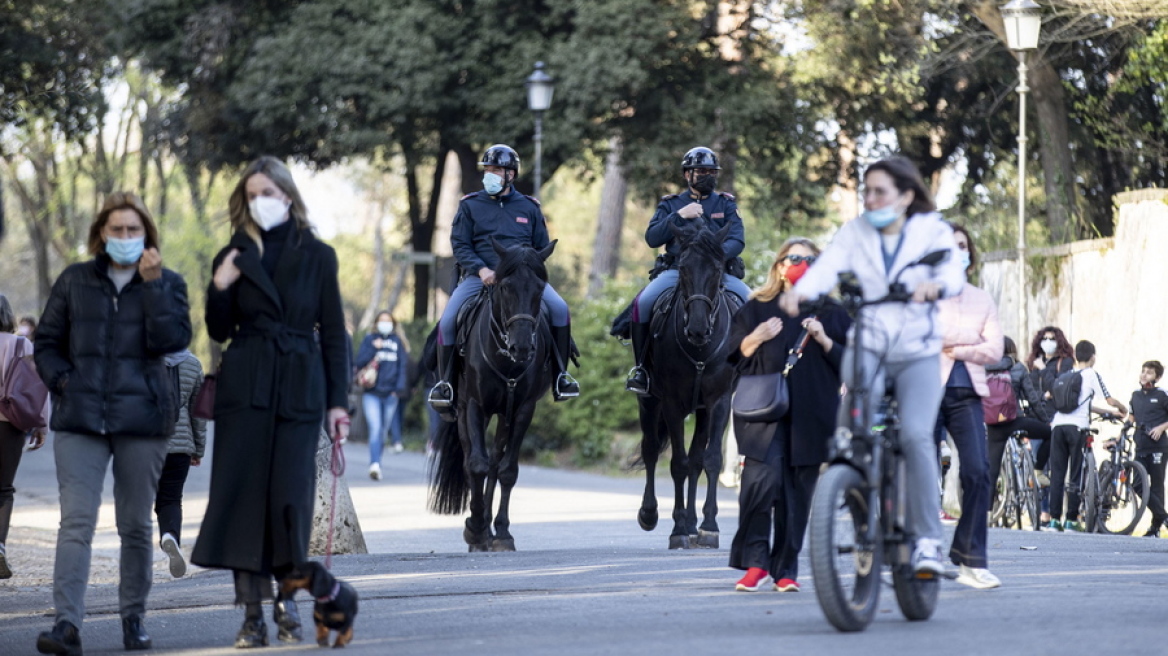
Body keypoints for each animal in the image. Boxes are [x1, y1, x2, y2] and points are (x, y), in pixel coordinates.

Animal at [427, 144, 576, 413]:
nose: (522, 347)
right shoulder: (474, 406)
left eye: (540, 288)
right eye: (505, 287)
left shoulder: (523, 408)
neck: (501, 201)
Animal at [429, 236, 555, 548]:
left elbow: (508, 470)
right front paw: (474, 529)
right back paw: (479, 528)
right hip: (464, 410)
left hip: (504, 414)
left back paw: (489, 528)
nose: (521, 347)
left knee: (496, 462)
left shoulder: (523, 409)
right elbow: (476, 465)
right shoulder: (475, 405)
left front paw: (502, 531)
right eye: (505, 286)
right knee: (471, 459)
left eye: (540, 288)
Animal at [635, 219, 733, 546]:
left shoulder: (719, 402)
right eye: (684, 268)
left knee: (696, 459)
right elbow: (677, 463)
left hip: (701, 411)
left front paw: (709, 525)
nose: (698, 329)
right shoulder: (671, 403)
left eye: (717, 268)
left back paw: (693, 524)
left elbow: (710, 459)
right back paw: (650, 513)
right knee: (651, 449)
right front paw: (677, 528)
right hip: (648, 401)